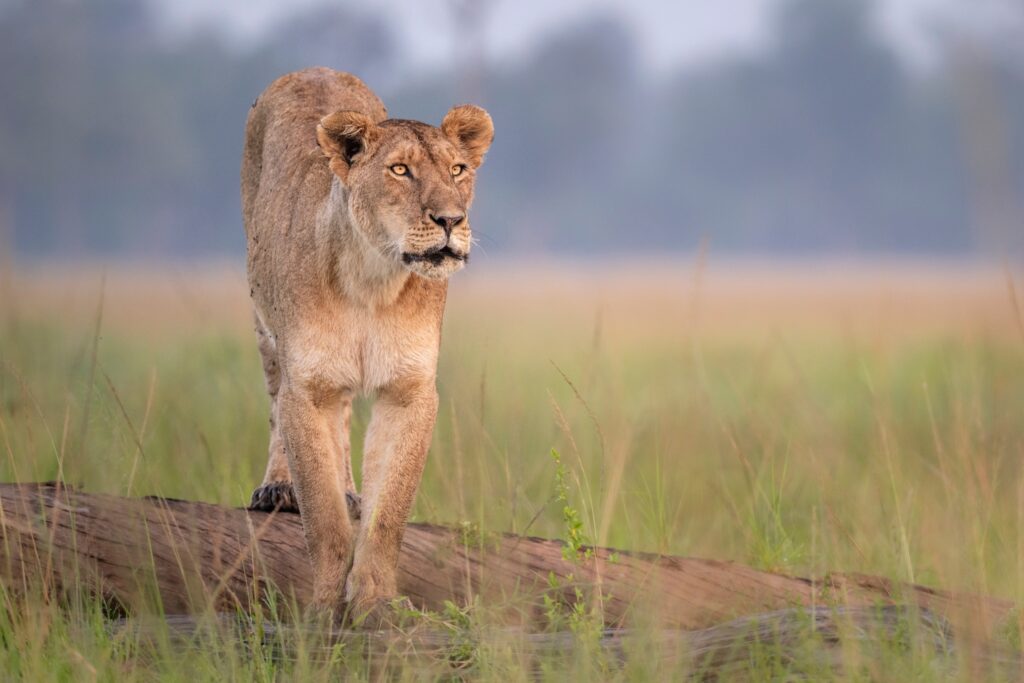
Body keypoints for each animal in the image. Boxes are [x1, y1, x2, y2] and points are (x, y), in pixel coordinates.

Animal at [240, 67, 493, 623]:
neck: (372, 281)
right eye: (400, 170)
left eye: (458, 169)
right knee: (276, 400)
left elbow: (388, 514)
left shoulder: (410, 390)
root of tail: (315, 69)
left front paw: (375, 604)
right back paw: (277, 487)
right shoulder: (306, 387)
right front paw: (323, 608)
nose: (451, 220)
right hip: (265, 320)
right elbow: (323, 516)